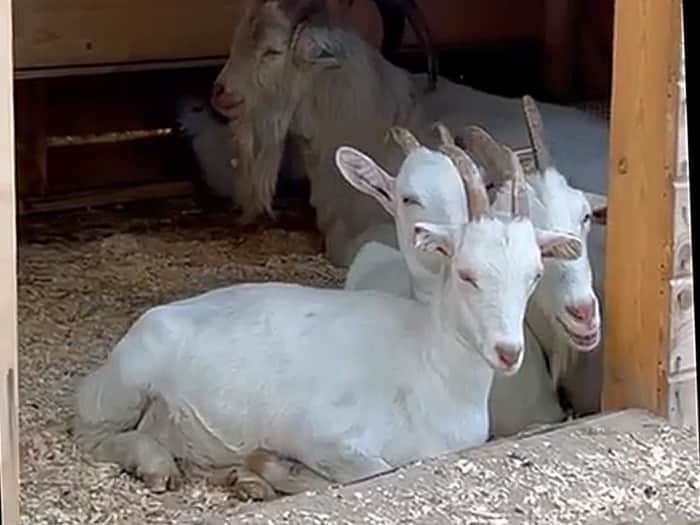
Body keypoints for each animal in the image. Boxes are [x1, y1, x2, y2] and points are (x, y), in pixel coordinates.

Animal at [73, 127, 581, 497]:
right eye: (466, 273)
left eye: (534, 274)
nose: (507, 351)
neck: (428, 363)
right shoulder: (322, 433)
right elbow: (370, 471)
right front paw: (268, 468)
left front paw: (252, 476)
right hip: (126, 382)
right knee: (91, 434)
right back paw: (156, 465)